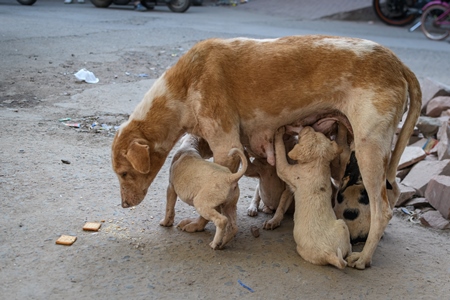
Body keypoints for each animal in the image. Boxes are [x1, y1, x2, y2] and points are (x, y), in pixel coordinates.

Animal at [274, 126, 352, 270]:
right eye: (317, 132)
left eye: (307, 134)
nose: (308, 126)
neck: (318, 164)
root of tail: (330, 253)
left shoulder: (286, 171)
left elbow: (280, 153)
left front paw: (279, 132)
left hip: (337, 227)